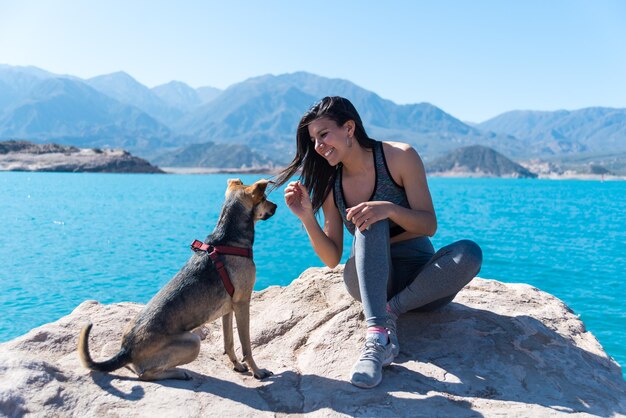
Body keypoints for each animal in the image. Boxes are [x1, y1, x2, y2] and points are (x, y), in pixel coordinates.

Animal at [77, 178, 276, 380]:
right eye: (264, 198)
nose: (275, 206)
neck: (228, 239)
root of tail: (126, 351)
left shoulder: (228, 308)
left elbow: (229, 342)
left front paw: (237, 365)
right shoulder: (242, 303)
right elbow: (246, 346)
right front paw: (257, 371)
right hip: (193, 342)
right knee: (146, 374)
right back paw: (179, 373)